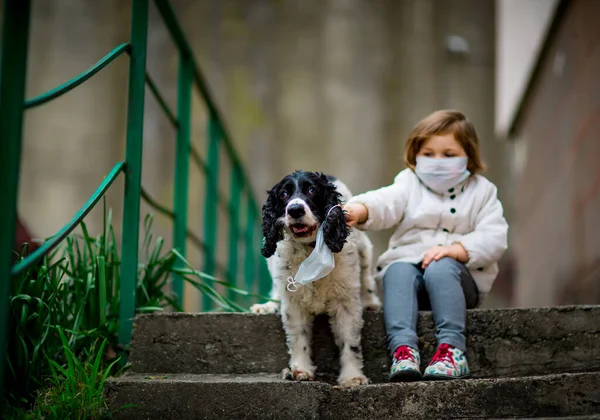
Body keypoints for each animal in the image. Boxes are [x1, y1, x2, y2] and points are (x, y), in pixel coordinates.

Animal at [251, 170, 382, 388]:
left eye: (312, 190)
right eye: (284, 194)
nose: (295, 210)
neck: (311, 251)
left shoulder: (345, 301)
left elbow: (350, 342)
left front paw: (352, 376)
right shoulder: (294, 302)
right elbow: (298, 337)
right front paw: (300, 370)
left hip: (364, 249)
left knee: (366, 277)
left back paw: (370, 302)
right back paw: (268, 305)